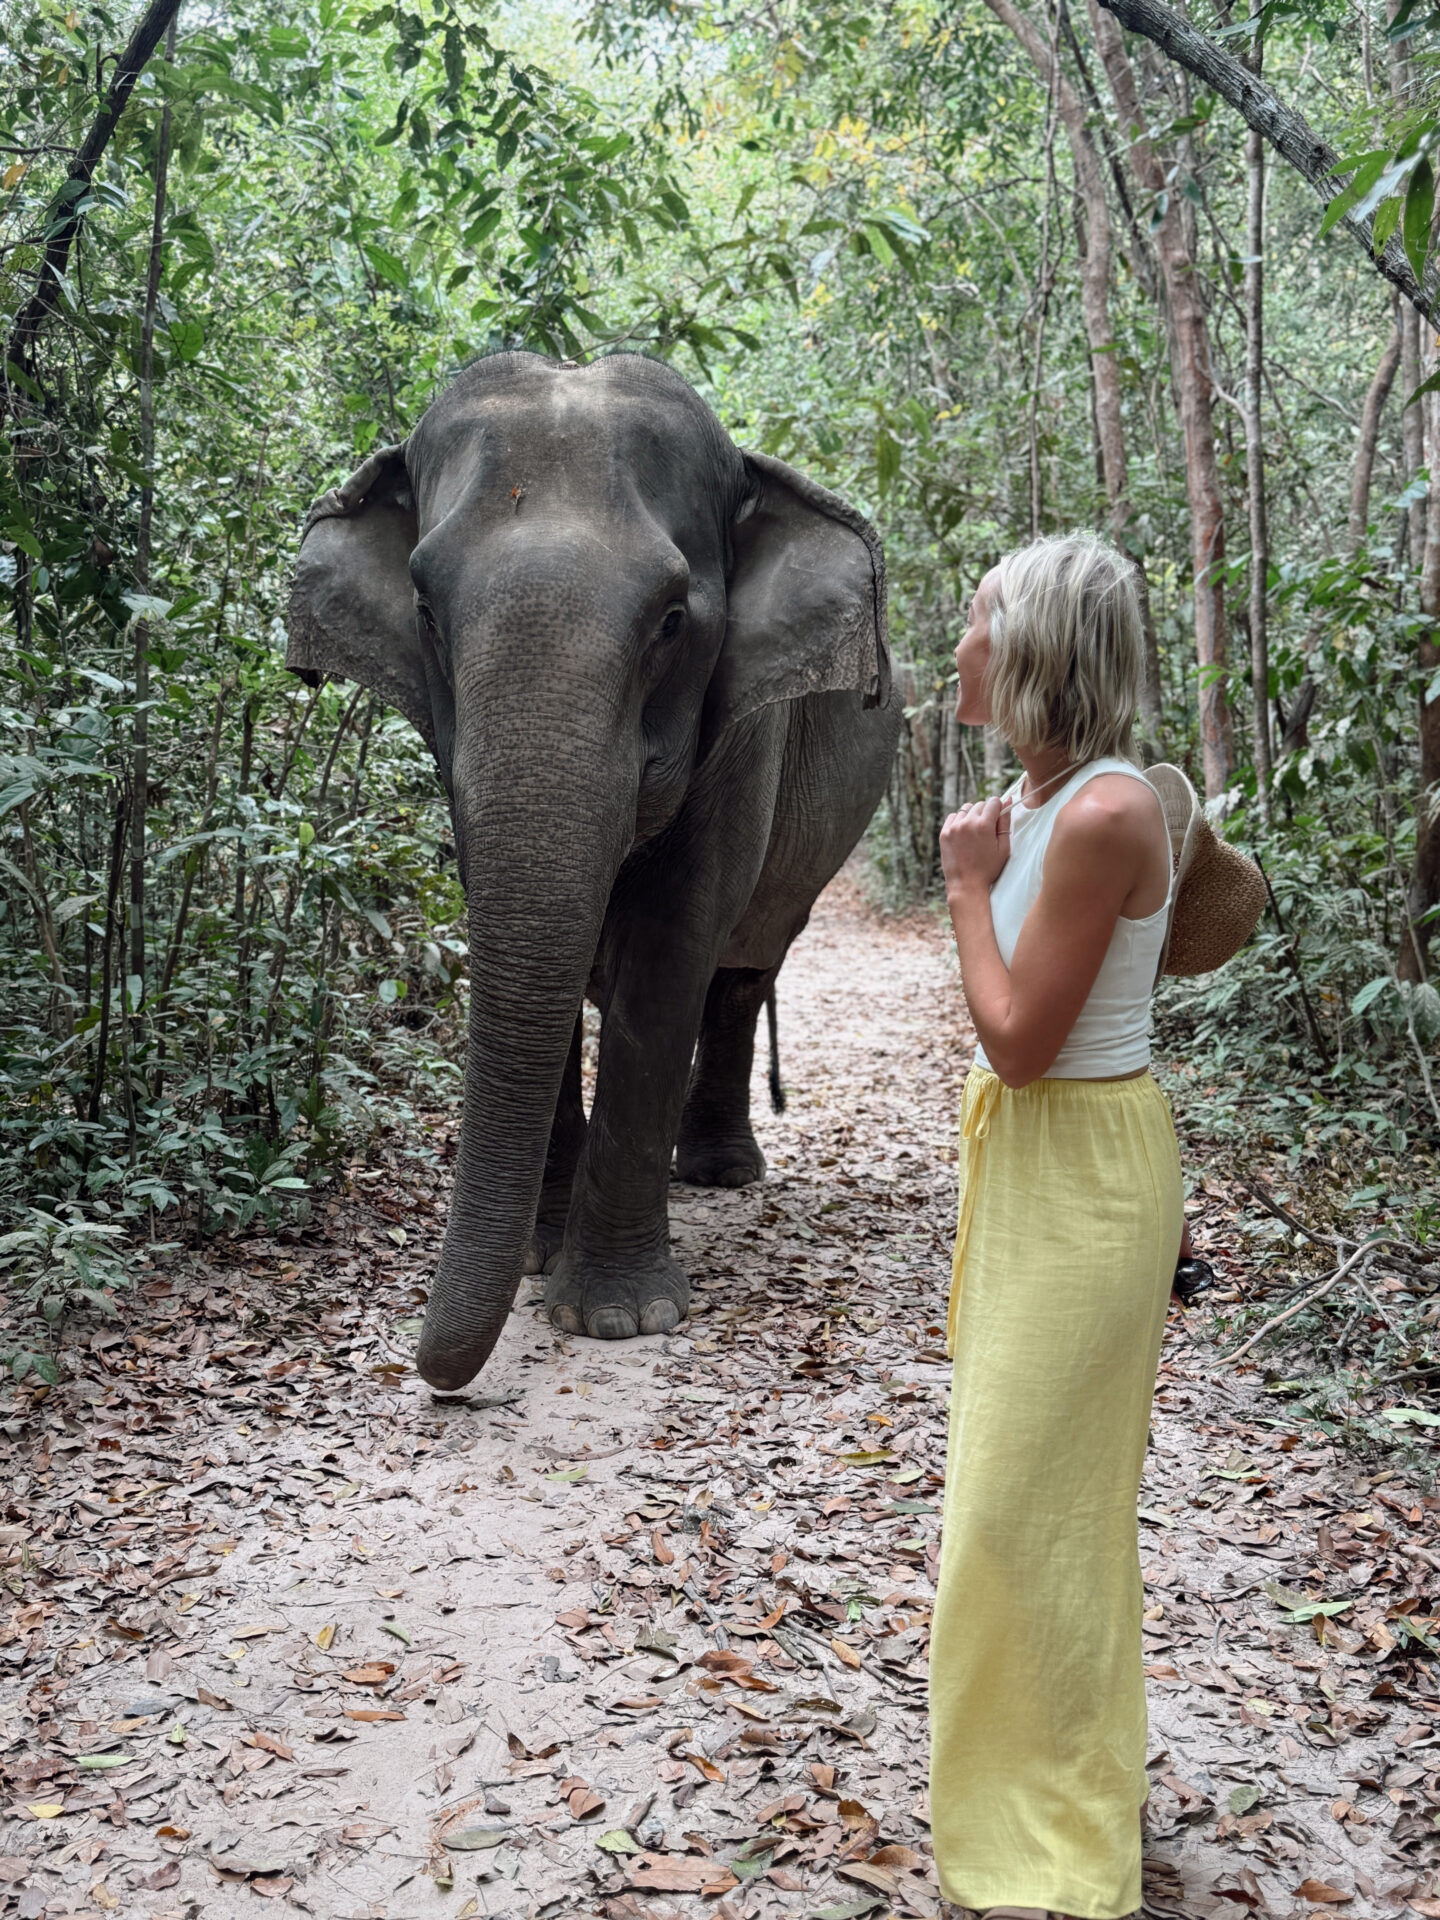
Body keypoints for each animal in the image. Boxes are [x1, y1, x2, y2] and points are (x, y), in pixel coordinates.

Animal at [286, 350, 899, 1391]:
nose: (426, 1370)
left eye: (672, 620)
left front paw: (616, 1316)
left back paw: (717, 1172)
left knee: (743, 970)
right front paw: (540, 1257)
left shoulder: (745, 735)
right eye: (424, 611)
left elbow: (671, 949)